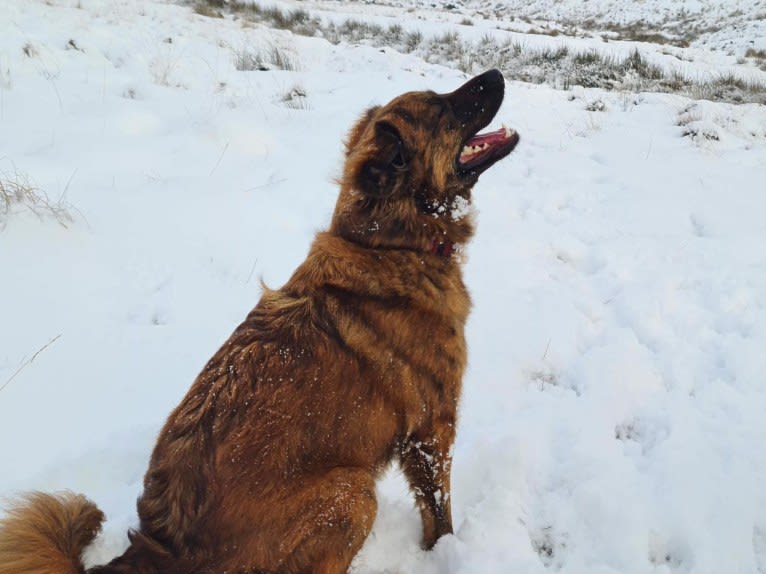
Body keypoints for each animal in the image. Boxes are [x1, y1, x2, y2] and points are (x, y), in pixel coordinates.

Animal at [0, 68, 520, 574]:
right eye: (441, 108)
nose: (497, 74)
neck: (389, 245)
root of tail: (159, 549)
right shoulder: (432, 430)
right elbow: (439, 513)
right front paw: (446, 552)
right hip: (351, 492)